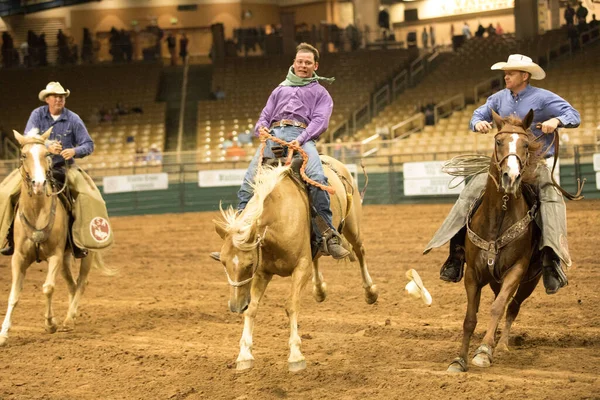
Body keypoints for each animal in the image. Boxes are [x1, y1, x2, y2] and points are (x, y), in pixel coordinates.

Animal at [0, 129, 105, 346]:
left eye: (46, 154)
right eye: (24, 155)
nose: (39, 184)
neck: (37, 212)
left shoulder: (54, 256)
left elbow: (48, 288)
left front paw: (50, 324)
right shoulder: (18, 258)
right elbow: (13, 295)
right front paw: (4, 334)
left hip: (85, 254)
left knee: (81, 283)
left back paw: (68, 320)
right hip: (65, 259)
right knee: (72, 285)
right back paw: (72, 316)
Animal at [213, 148, 378, 374]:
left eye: (248, 264)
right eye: (223, 263)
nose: (236, 307)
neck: (279, 217)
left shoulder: (301, 268)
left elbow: (291, 306)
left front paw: (295, 355)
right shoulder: (263, 273)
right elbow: (253, 308)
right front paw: (244, 355)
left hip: (353, 227)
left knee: (360, 253)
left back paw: (370, 292)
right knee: (319, 255)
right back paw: (319, 290)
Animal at [448, 109, 548, 372]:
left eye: (526, 144)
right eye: (498, 141)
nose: (510, 177)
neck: (498, 218)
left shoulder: (517, 270)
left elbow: (497, 308)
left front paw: (483, 351)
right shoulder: (472, 274)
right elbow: (470, 318)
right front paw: (459, 360)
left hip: (529, 281)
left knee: (511, 306)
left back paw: (500, 345)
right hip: (494, 280)